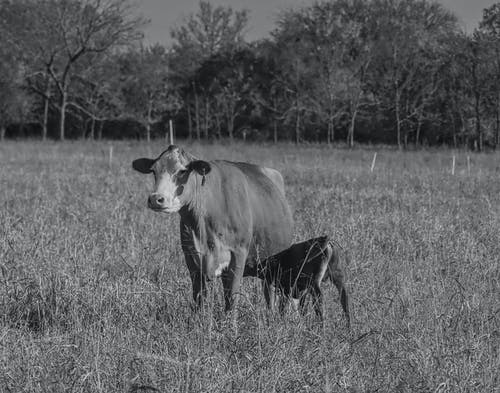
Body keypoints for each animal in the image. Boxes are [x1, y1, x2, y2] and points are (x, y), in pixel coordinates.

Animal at [132, 145, 292, 312]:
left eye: (182, 171)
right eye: (153, 171)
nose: (156, 199)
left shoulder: (239, 254)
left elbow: (231, 299)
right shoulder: (191, 258)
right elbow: (199, 297)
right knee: (269, 293)